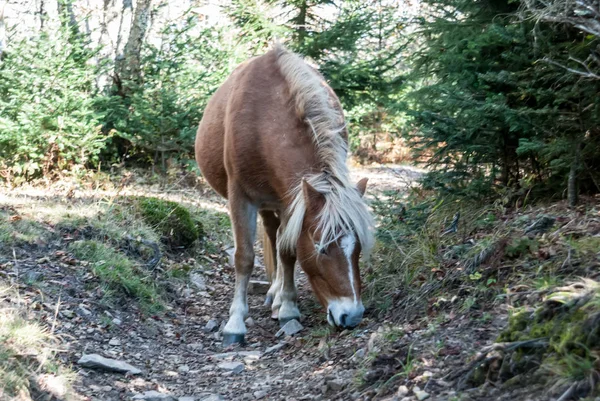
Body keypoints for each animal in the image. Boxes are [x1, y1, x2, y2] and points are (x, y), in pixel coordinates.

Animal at [195, 43, 372, 344]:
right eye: (321, 247)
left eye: (358, 248)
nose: (352, 316)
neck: (263, 117)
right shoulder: (241, 197)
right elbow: (244, 257)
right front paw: (234, 323)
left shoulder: (292, 200)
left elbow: (288, 251)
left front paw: (288, 307)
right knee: (270, 233)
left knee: (277, 238)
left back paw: (277, 298)